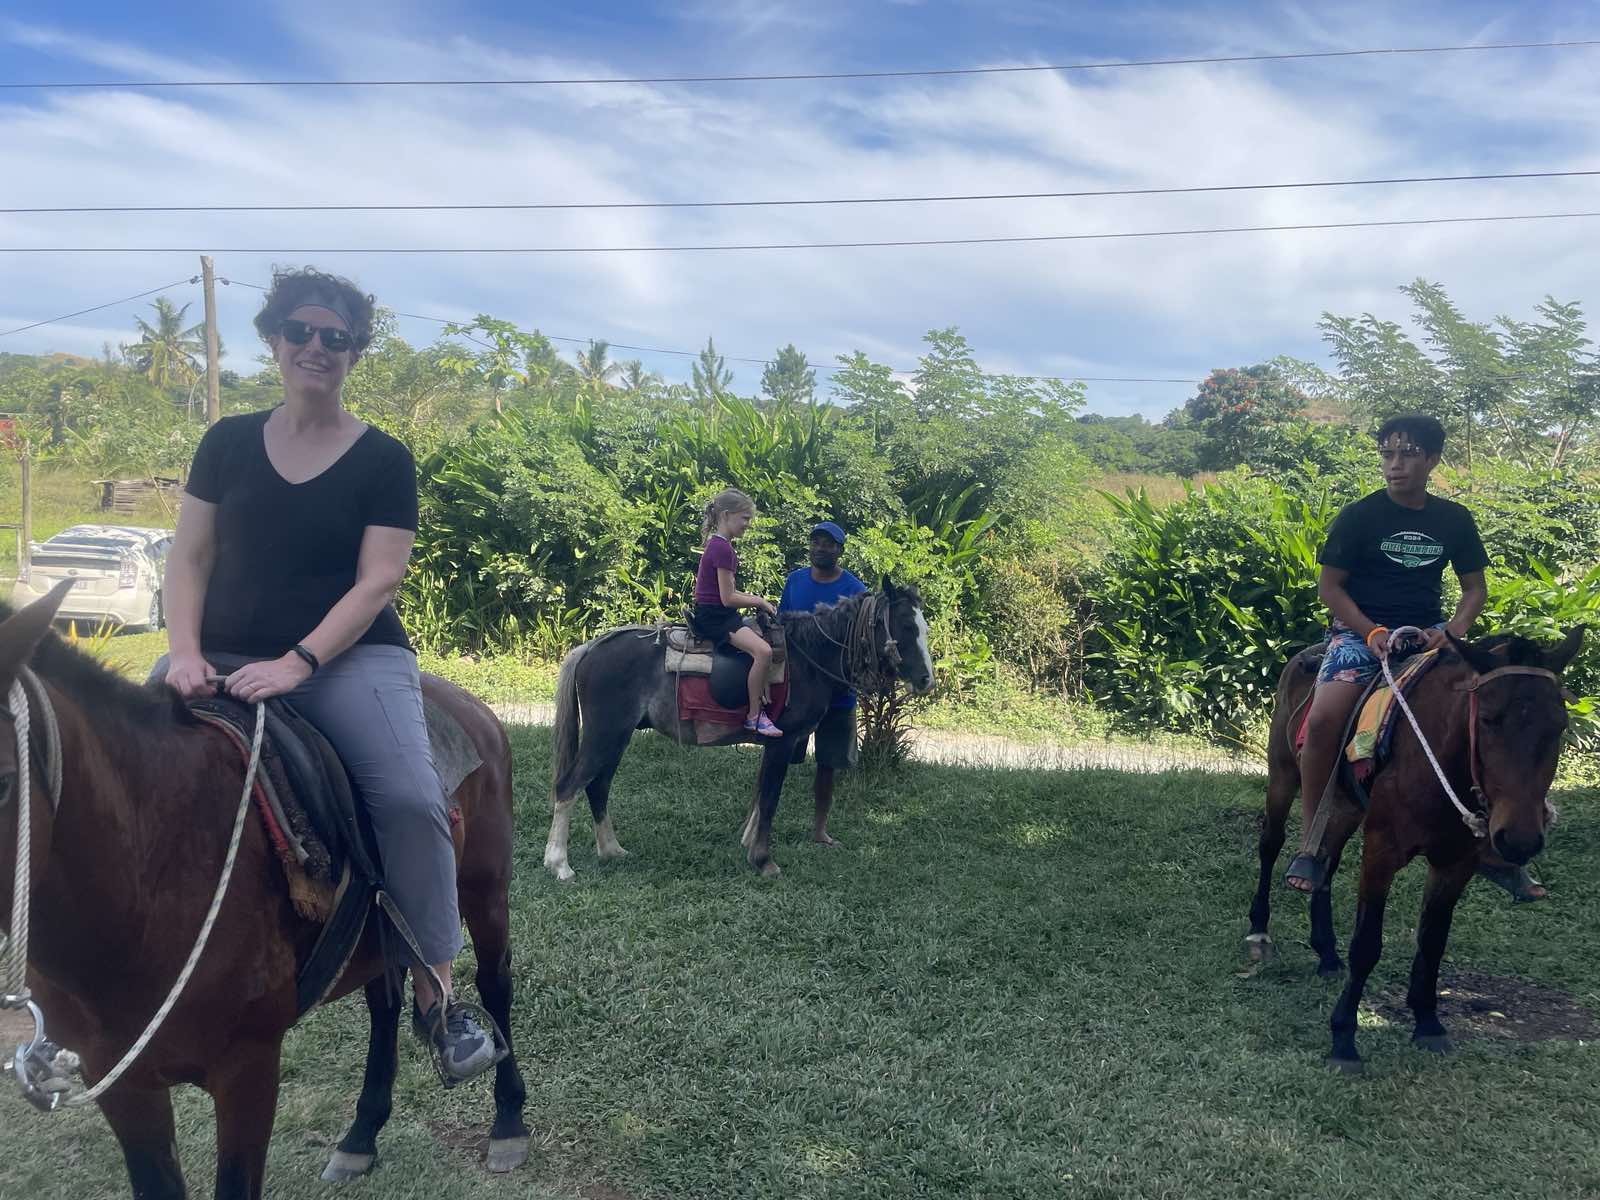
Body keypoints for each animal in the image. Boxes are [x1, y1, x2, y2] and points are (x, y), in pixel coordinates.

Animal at [0, 584, 530, 1199]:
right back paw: (361, 1135)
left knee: (493, 983)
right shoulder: (120, 1084)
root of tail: (474, 709)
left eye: (5, 781)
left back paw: (508, 1120)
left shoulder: (247, 1072)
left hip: (484, 892)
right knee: (384, 1004)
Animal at [543, 581, 935, 881]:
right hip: (605, 733)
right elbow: (771, 798)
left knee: (598, 786)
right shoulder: (783, 742)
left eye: (923, 627)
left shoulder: (776, 744)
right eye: (905, 625)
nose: (926, 680)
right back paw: (559, 864)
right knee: (569, 786)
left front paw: (749, 844)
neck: (807, 658)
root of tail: (589, 648)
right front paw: (763, 860)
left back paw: (611, 849)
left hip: (617, 735)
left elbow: (761, 793)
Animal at [1246, 625, 1583, 1070]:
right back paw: (1259, 929)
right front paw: (1344, 1039)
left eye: (1559, 725)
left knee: (1326, 861)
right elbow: (1367, 944)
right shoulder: (1381, 850)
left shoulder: (1455, 863)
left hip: (1347, 807)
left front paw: (1427, 1022)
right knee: (1272, 844)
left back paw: (1327, 952)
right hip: (1284, 773)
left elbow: (1433, 941)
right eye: (1489, 720)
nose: (1519, 838)